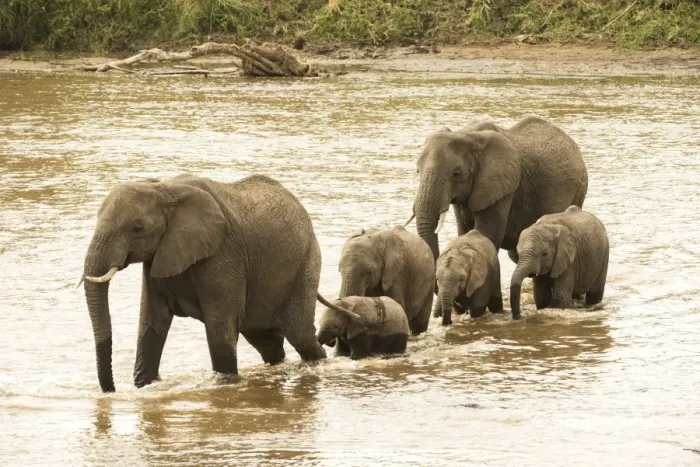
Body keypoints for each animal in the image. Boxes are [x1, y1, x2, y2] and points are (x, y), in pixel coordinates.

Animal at [78, 173, 348, 393]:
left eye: (136, 228)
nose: (111, 392)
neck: (164, 188)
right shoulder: (159, 256)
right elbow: (151, 324)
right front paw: (145, 387)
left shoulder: (224, 254)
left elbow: (219, 331)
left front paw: (224, 384)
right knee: (266, 340)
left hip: (305, 264)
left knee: (299, 335)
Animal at [409, 115, 589, 265]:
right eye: (418, 171)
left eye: (457, 174)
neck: (468, 134)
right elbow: (464, 232)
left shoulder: (503, 188)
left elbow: (486, 234)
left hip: (579, 189)